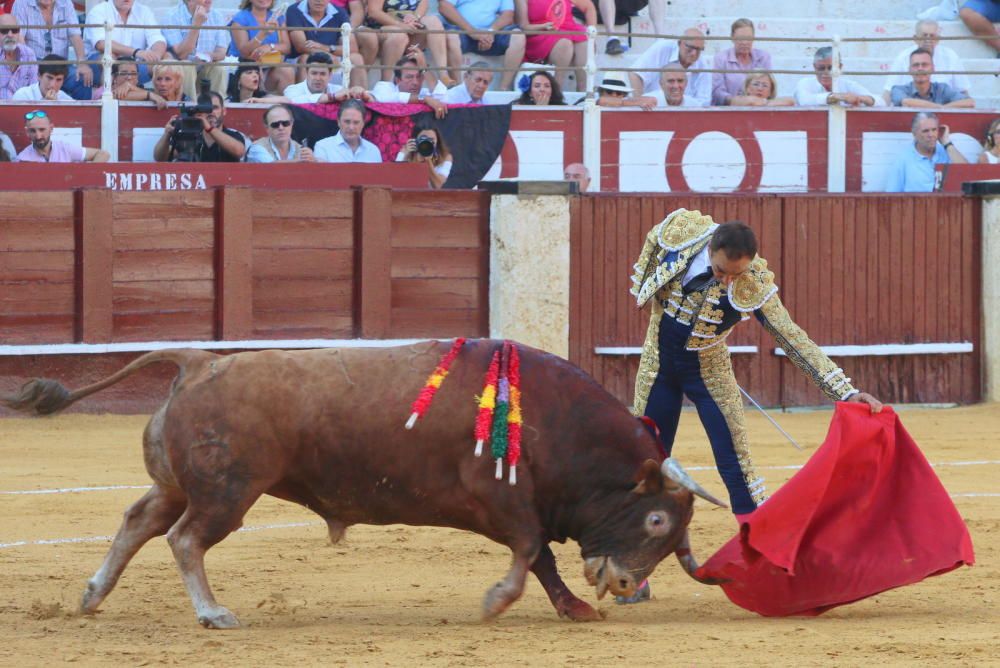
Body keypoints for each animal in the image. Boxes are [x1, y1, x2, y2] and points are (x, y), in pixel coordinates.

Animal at [0, 342, 728, 628]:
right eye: (656, 521)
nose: (626, 583)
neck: (555, 421)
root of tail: (199, 361)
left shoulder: (525, 510)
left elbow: (543, 560)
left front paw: (575, 608)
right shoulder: (507, 504)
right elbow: (529, 555)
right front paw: (496, 601)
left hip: (183, 485)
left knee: (138, 521)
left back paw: (91, 596)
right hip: (227, 494)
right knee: (183, 540)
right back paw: (212, 613)